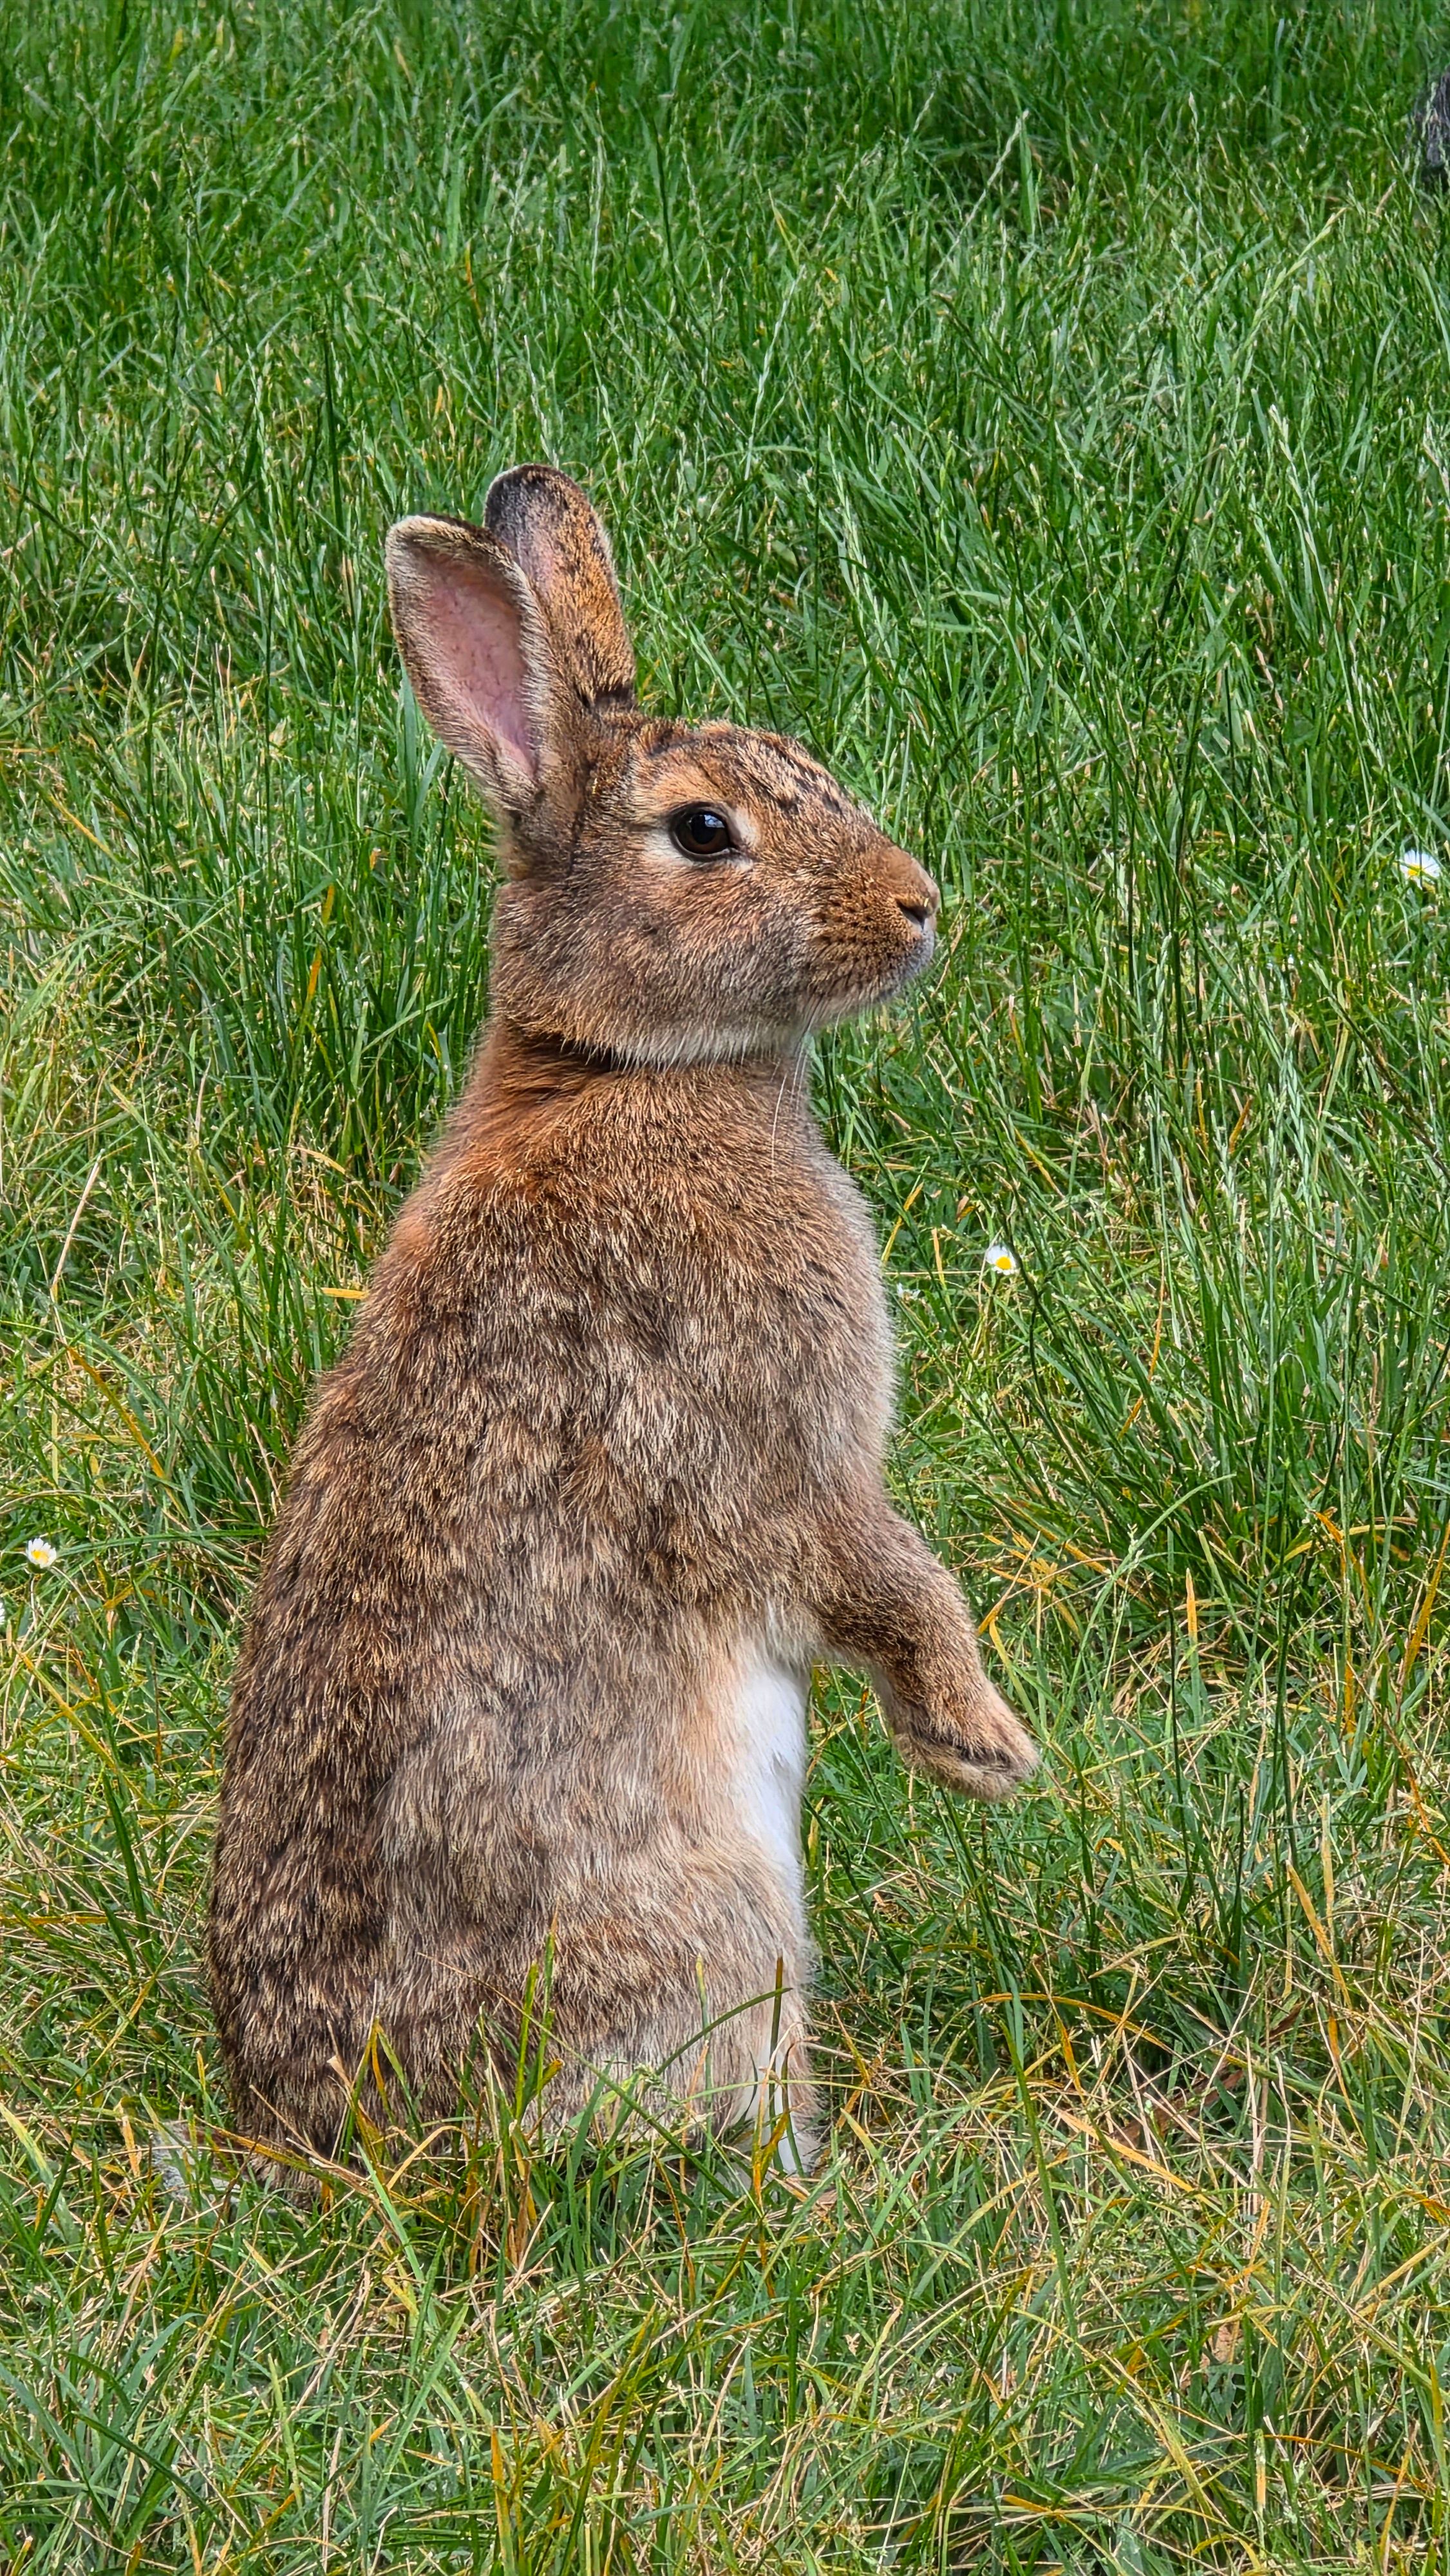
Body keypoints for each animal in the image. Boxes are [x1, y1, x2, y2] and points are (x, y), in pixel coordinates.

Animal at [206, 464, 1038, 2181]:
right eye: (702, 831)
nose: (918, 906)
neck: (620, 1068)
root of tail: (341, 2140)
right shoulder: (779, 1450)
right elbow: (885, 1576)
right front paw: (984, 1748)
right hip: (721, 1914)